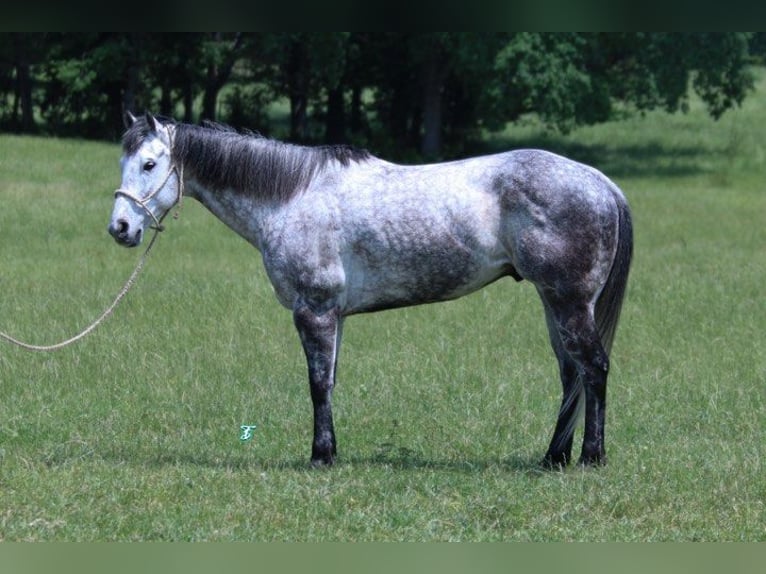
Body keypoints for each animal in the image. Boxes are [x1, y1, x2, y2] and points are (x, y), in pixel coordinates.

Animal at [109, 111, 636, 468]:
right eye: (124, 163)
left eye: (150, 164)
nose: (120, 228)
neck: (292, 197)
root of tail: (601, 183)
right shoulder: (333, 316)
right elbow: (330, 382)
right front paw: (331, 452)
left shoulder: (314, 311)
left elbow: (317, 384)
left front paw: (320, 456)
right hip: (554, 303)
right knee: (570, 375)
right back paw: (553, 458)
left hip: (569, 303)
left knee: (593, 368)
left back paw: (590, 458)